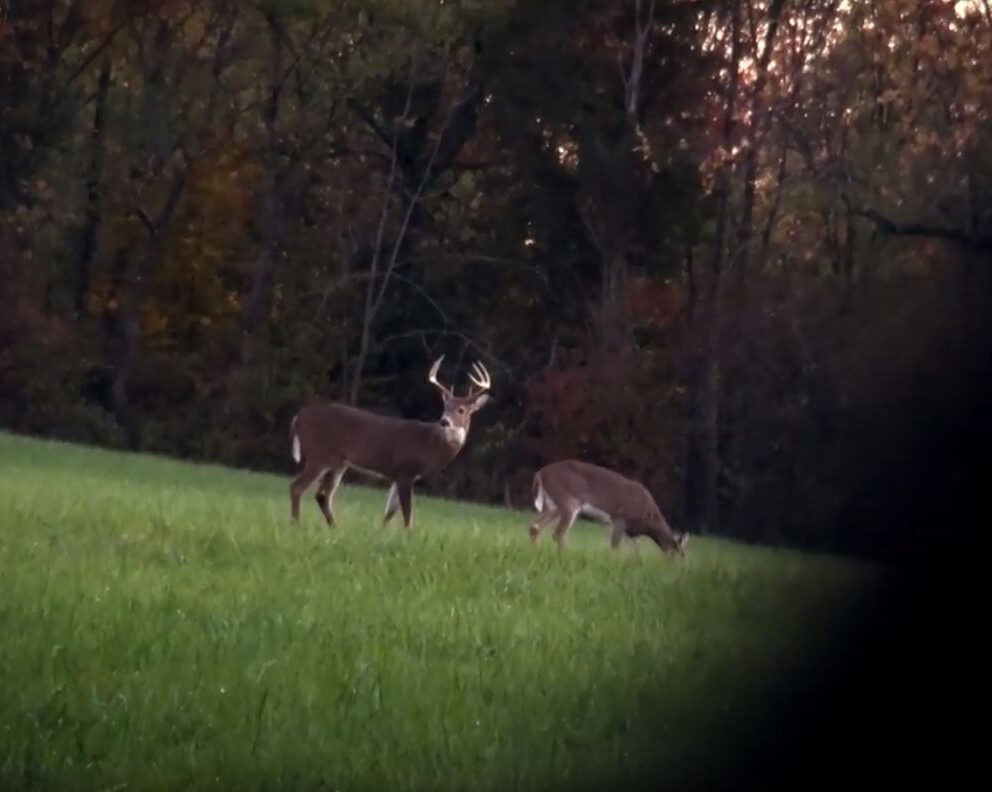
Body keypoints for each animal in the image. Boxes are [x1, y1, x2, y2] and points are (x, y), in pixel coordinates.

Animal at [288, 356, 491, 530]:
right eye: (445, 407)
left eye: (461, 410)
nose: (444, 421)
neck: (430, 444)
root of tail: (298, 417)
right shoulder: (406, 471)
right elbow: (407, 514)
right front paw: (408, 537)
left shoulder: (401, 475)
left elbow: (390, 512)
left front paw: (383, 532)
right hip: (319, 453)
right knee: (297, 487)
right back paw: (297, 524)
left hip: (339, 462)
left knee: (322, 495)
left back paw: (334, 527)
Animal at [528, 459, 689, 557]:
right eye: (679, 554)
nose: (677, 571)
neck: (647, 517)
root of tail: (540, 473)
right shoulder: (619, 517)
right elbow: (614, 546)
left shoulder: (630, 532)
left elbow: (636, 552)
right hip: (568, 501)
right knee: (558, 533)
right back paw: (564, 556)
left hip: (552, 505)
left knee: (535, 527)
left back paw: (536, 551)